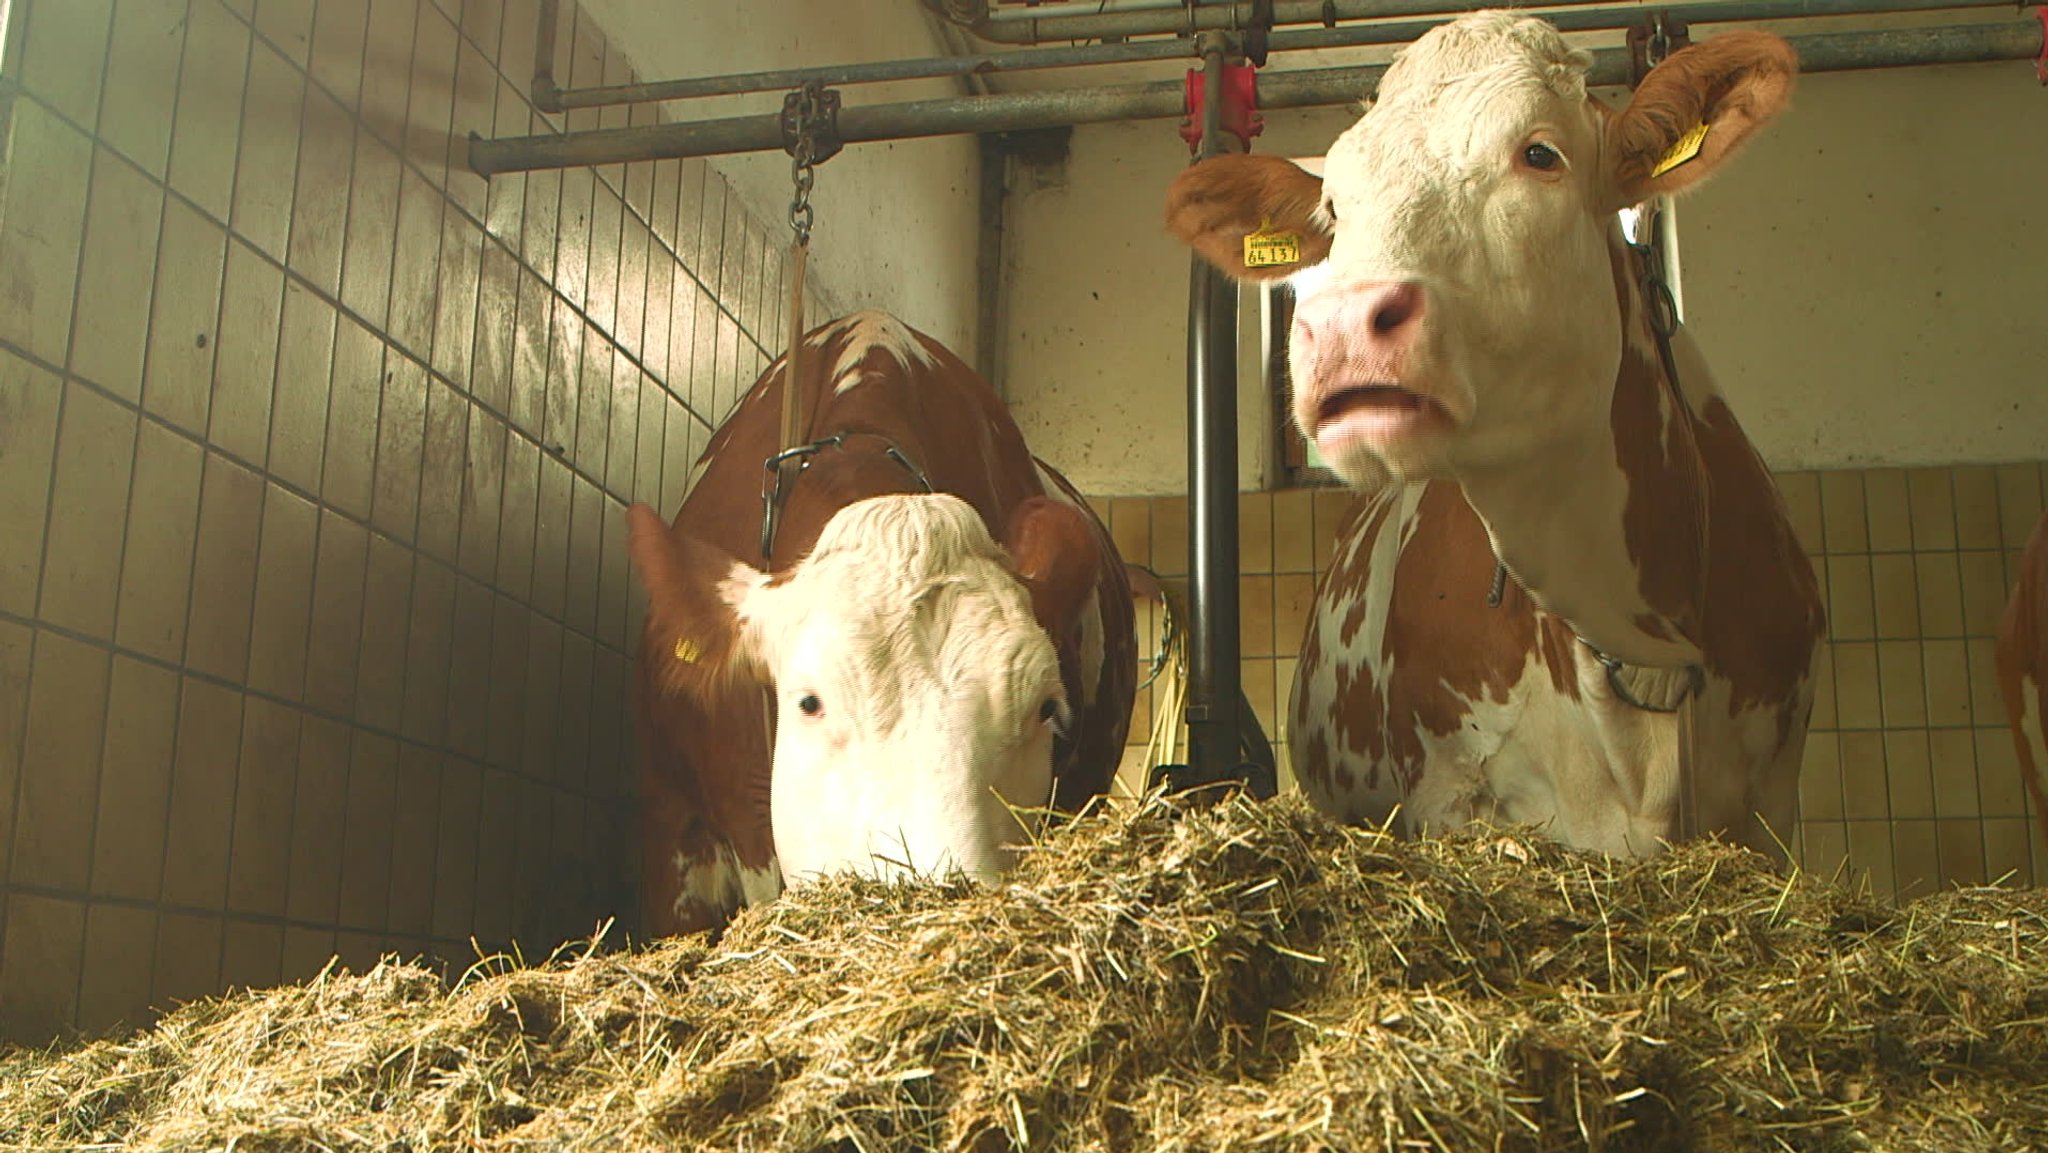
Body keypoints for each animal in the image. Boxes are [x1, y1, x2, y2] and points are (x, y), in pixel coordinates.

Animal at [1171, 13, 1826, 868]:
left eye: (1539, 153)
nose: (1341, 325)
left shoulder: (1771, 798)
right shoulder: (1449, 795)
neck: (1639, 639)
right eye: (1335, 210)